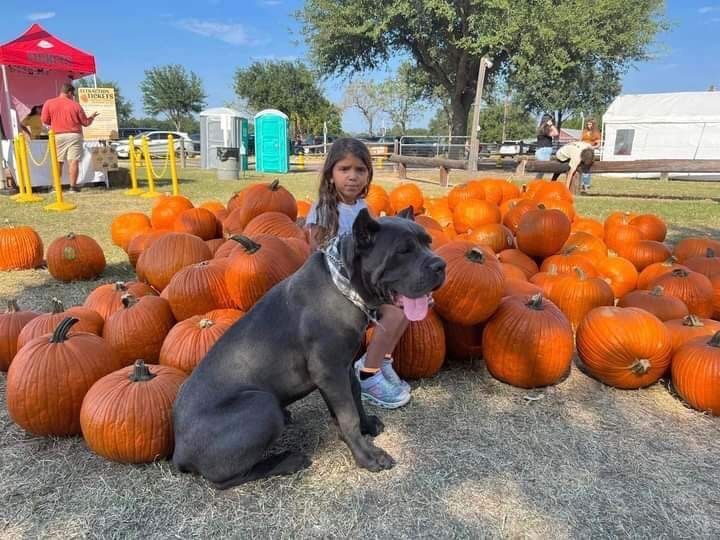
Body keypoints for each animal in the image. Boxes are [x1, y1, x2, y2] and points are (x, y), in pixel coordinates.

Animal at [173, 209, 444, 488]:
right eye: (403, 251)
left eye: (428, 242)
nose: (440, 265)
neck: (344, 285)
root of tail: (179, 451)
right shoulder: (330, 371)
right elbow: (348, 416)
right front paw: (367, 456)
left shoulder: (343, 367)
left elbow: (355, 398)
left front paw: (366, 425)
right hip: (262, 404)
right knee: (226, 480)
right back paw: (287, 461)